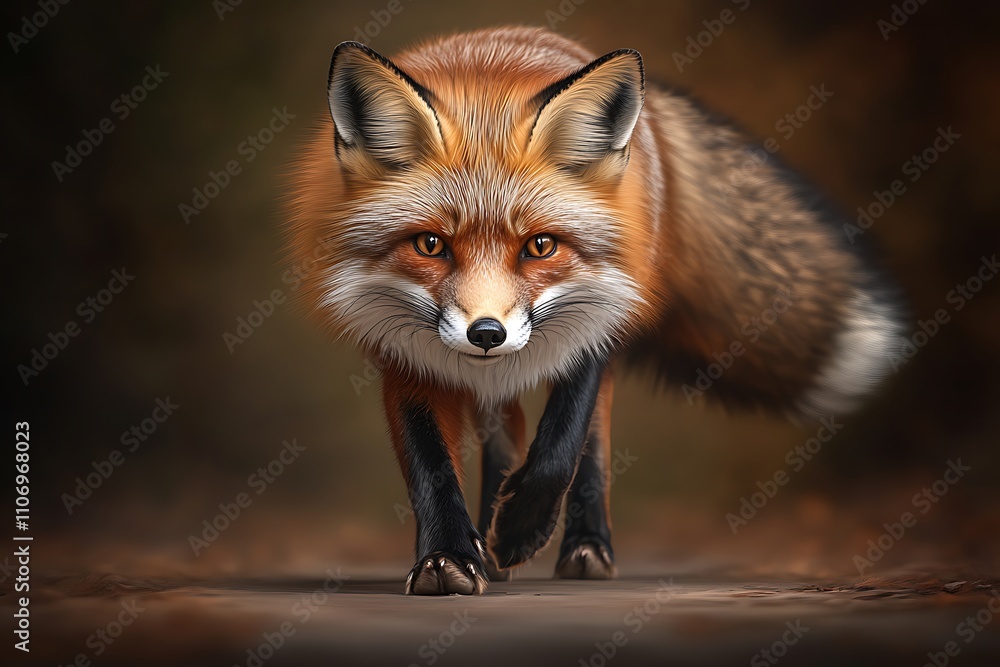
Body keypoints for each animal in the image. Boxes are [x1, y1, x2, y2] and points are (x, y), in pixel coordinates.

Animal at [285, 26, 903, 595]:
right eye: (430, 245)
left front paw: (520, 530)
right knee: (506, 432)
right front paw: (449, 556)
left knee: (592, 447)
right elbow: (431, 466)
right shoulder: (400, 355)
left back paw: (581, 545)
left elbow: (563, 445)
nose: (486, 334)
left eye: (540, 246)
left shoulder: (596, 321)